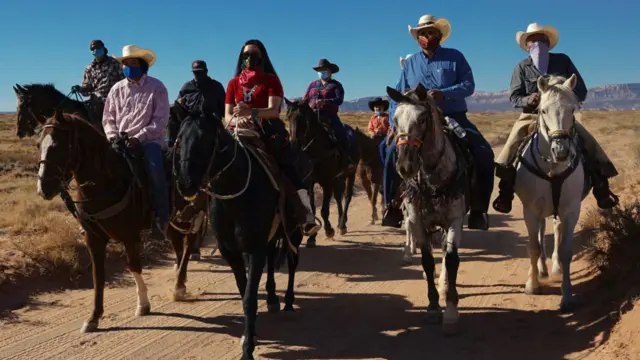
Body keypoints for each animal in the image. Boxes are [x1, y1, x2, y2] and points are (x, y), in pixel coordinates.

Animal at [36, 111, 154, 334]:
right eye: (39, 144)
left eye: (58, 145)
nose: (43, 189)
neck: (107, 183)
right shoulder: (94, 239)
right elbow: (98, 276)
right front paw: (93, 318)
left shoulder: (129, 236)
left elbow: (134, 265)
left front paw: (143, 304)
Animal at [175, 114, 304, 358]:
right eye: (180, 138)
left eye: (205, 139)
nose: (185, 183)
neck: (233, 197)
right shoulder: (232, 252)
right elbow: (244, 291)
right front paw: (249, 335)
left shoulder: (254, 249)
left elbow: (249, 299)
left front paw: (247, 349)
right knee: (272, 258)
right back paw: (272, 298)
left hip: (293, 232)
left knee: (292, 262)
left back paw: (289, 303)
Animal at [384, 84, 470, 334]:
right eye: (395, 119)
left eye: (422, 119)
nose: (405, 166)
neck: (432, 178)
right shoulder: (417, 220)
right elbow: (427, 261)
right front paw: (433, 307)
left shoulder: (454, 221)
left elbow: (451, 260)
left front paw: (450, 310)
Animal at [516, 73, 592, 312]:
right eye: (542, 110)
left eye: (573, 110)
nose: (561, 152)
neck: (552, 167)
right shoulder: (530, 210)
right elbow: (532, 246)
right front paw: (532, 285)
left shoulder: (571, 210)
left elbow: (566, 250)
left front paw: (567, 295)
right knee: (540, 234)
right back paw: (540, 270)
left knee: (555, 231)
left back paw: (555, 267)